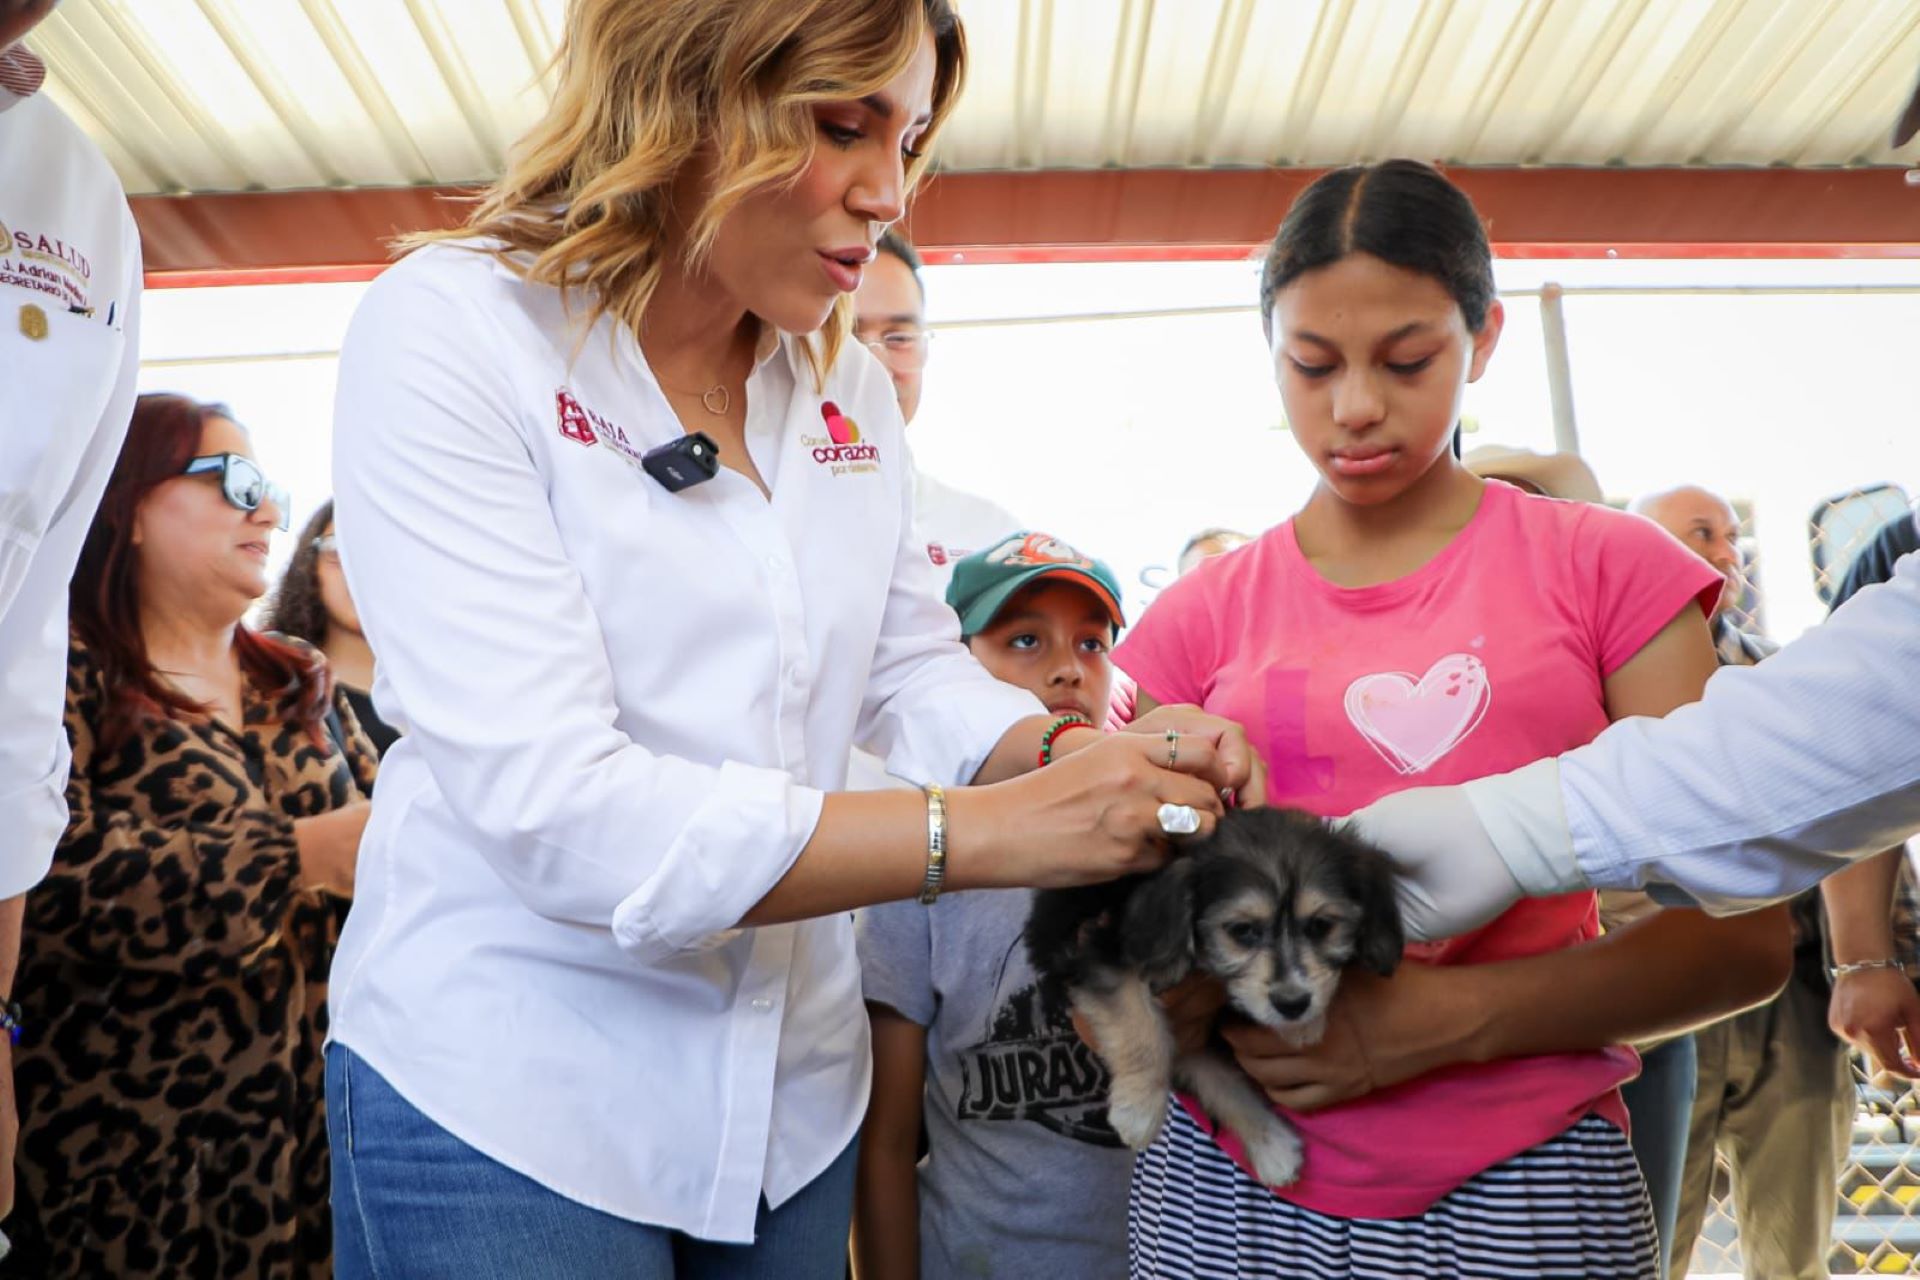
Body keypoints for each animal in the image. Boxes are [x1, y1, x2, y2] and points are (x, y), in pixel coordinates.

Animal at [1029, 809, 1405, 1189]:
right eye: (1242, 931)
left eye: (1321, 925)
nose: (1293, 1003)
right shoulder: (1099, 954)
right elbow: (1139, 1026)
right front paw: (1138, 1109)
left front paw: (1305, 1022)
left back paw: (1272, 1145)